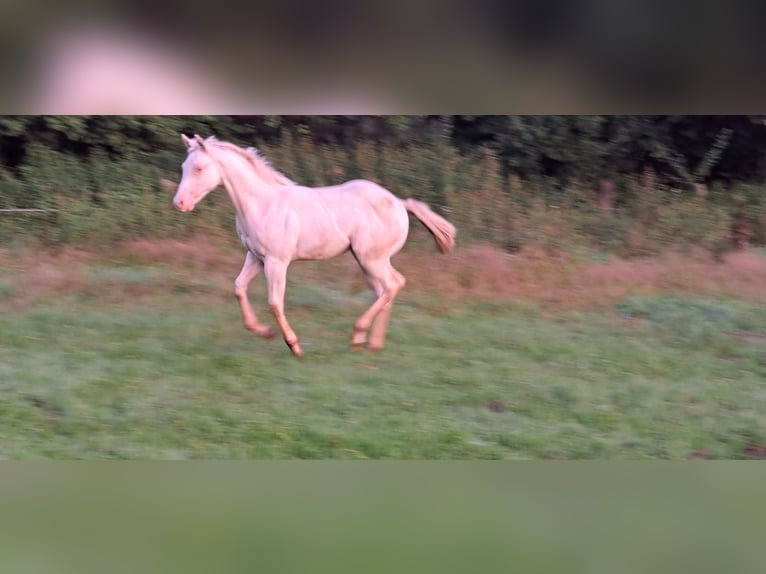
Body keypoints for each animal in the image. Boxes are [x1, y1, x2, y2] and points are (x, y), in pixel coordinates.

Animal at [173, 134, 456, 357]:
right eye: (184, 166)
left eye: (199, 168)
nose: (180, 203)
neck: (263, 204)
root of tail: (399, 202)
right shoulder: (255, 257)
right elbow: (239, 289)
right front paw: (264, 332)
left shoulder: (277, 261)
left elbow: (275, 302)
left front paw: (294, 346)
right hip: (368, 262)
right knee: (385, 290)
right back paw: (370, 344)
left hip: (371, 259)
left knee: (393, 285)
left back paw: (358, 335)